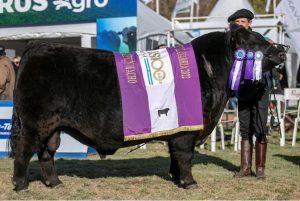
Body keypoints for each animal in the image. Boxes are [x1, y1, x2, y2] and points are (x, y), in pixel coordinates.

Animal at [9, 26, 286, 192]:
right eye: (254, 42)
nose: (282, 52)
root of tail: (38, 47)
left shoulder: (178, 127)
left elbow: (175, 155)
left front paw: (175, 178)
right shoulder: (187, 130)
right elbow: (185, 155)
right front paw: (189, 182)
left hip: (52, 126)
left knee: (47, 153)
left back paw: (55, 183)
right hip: (35, 122)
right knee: (24, 150)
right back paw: (21, 186)